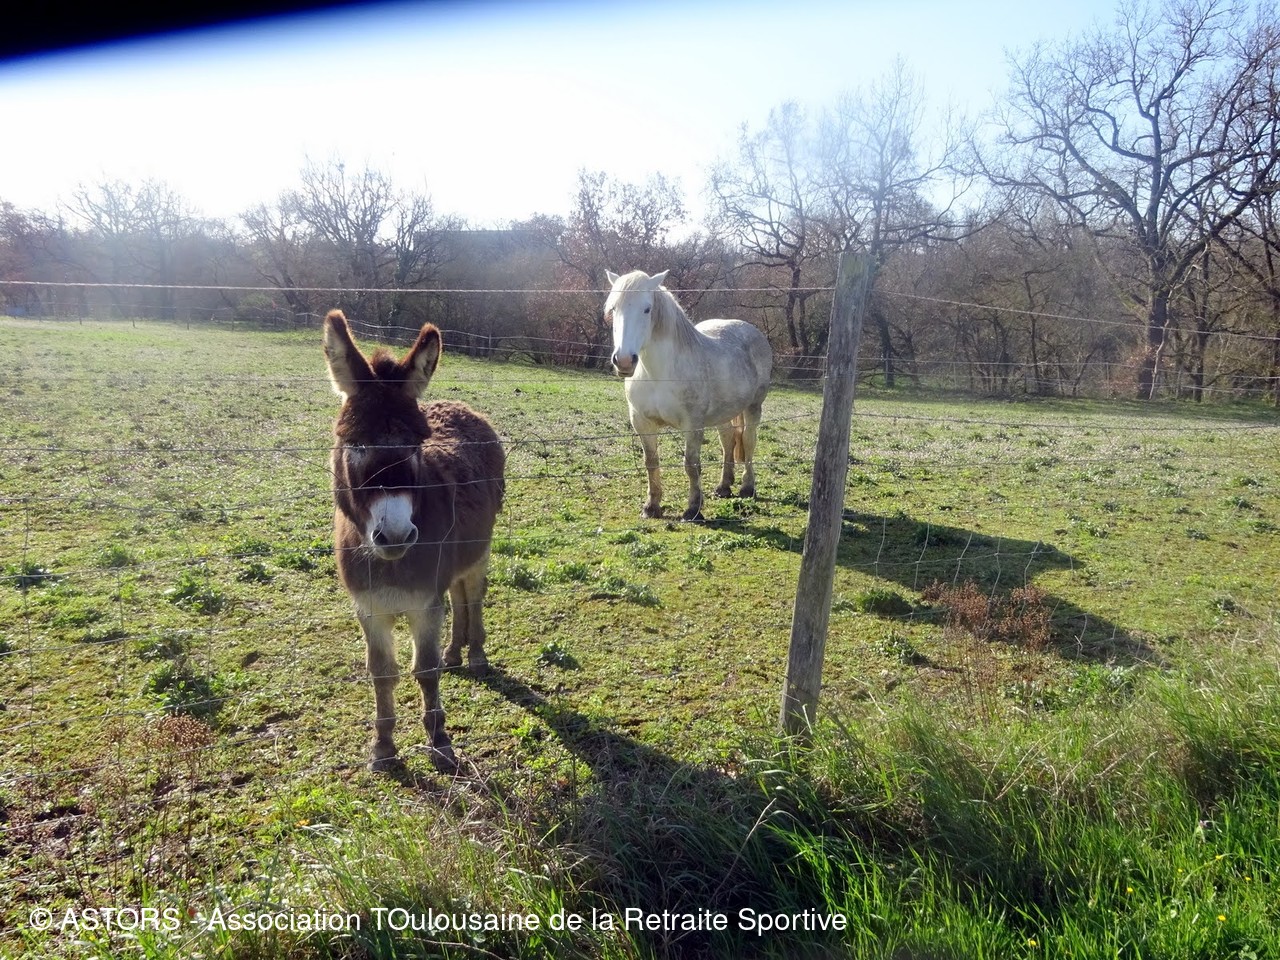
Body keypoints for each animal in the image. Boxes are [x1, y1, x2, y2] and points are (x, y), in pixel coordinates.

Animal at [322, 310, 505, 773]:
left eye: (415, 447)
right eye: (355, 444)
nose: (396, 534)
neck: (390, 563)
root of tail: (461, 407)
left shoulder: (423, 603)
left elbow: (425, 670)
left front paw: (439, 741)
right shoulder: (369, 608)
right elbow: (382, 673)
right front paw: (383, 748)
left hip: (480, 551)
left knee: (473, 594)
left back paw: (475, 655)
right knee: (457, 594)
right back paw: (456, 652)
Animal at [605, 269, 773, 521]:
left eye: (647, 309)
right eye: (614, 308)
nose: (624, 361)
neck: (659, 374)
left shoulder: (693, 424)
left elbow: (691, 465)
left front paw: (693, 509)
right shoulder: (642, 422)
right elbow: (651, 462)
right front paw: (651, 507)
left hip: (754, 407)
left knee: (748, 442)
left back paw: (747, 488)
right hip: (724, 413)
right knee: (728, 441)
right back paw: (724, 486)